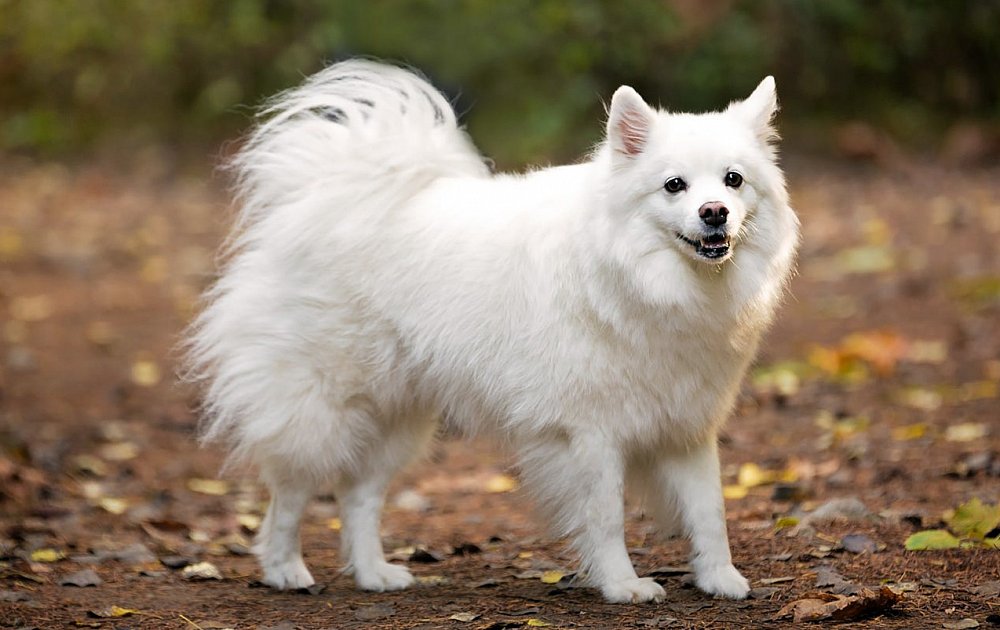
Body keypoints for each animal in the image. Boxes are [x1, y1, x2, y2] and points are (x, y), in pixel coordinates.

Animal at [186, 60, 796, 608]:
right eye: (674, 186)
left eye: (733, 180)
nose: (714, 212)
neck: (643, 278)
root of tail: (324, 197)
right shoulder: (589, 433)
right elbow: (605, 515)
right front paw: (623, 585)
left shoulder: (689, 425)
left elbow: (709, 511)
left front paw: (720, 578)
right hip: (324, 406)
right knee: (290, 492)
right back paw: (285, 569)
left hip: (399, 417)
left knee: (359, 495)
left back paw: (374, 573)